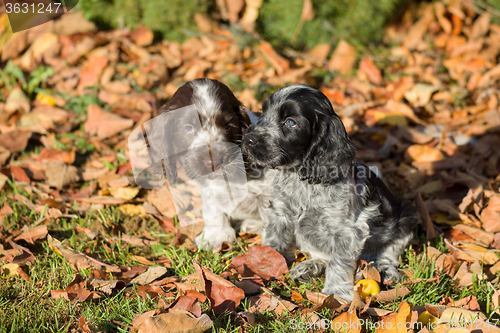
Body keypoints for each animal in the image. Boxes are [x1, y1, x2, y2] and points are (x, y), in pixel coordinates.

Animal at [158, 78, 274, 249]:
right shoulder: (208, 187)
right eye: (188, 128)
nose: (215, 161)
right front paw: (215, 237)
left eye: (228, 125)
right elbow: (212, 209)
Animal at [242, 84, 418, 300]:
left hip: (406, 217)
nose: (248, 139)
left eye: (290, 122)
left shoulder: (347, 231)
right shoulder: (280, 213)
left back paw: (384, 269)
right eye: (262, 112)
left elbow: (338, 262)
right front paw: (264, 264)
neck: (301, 179)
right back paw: (310, 267)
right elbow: (274, 241)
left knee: (389, 252)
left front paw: (336, 293)